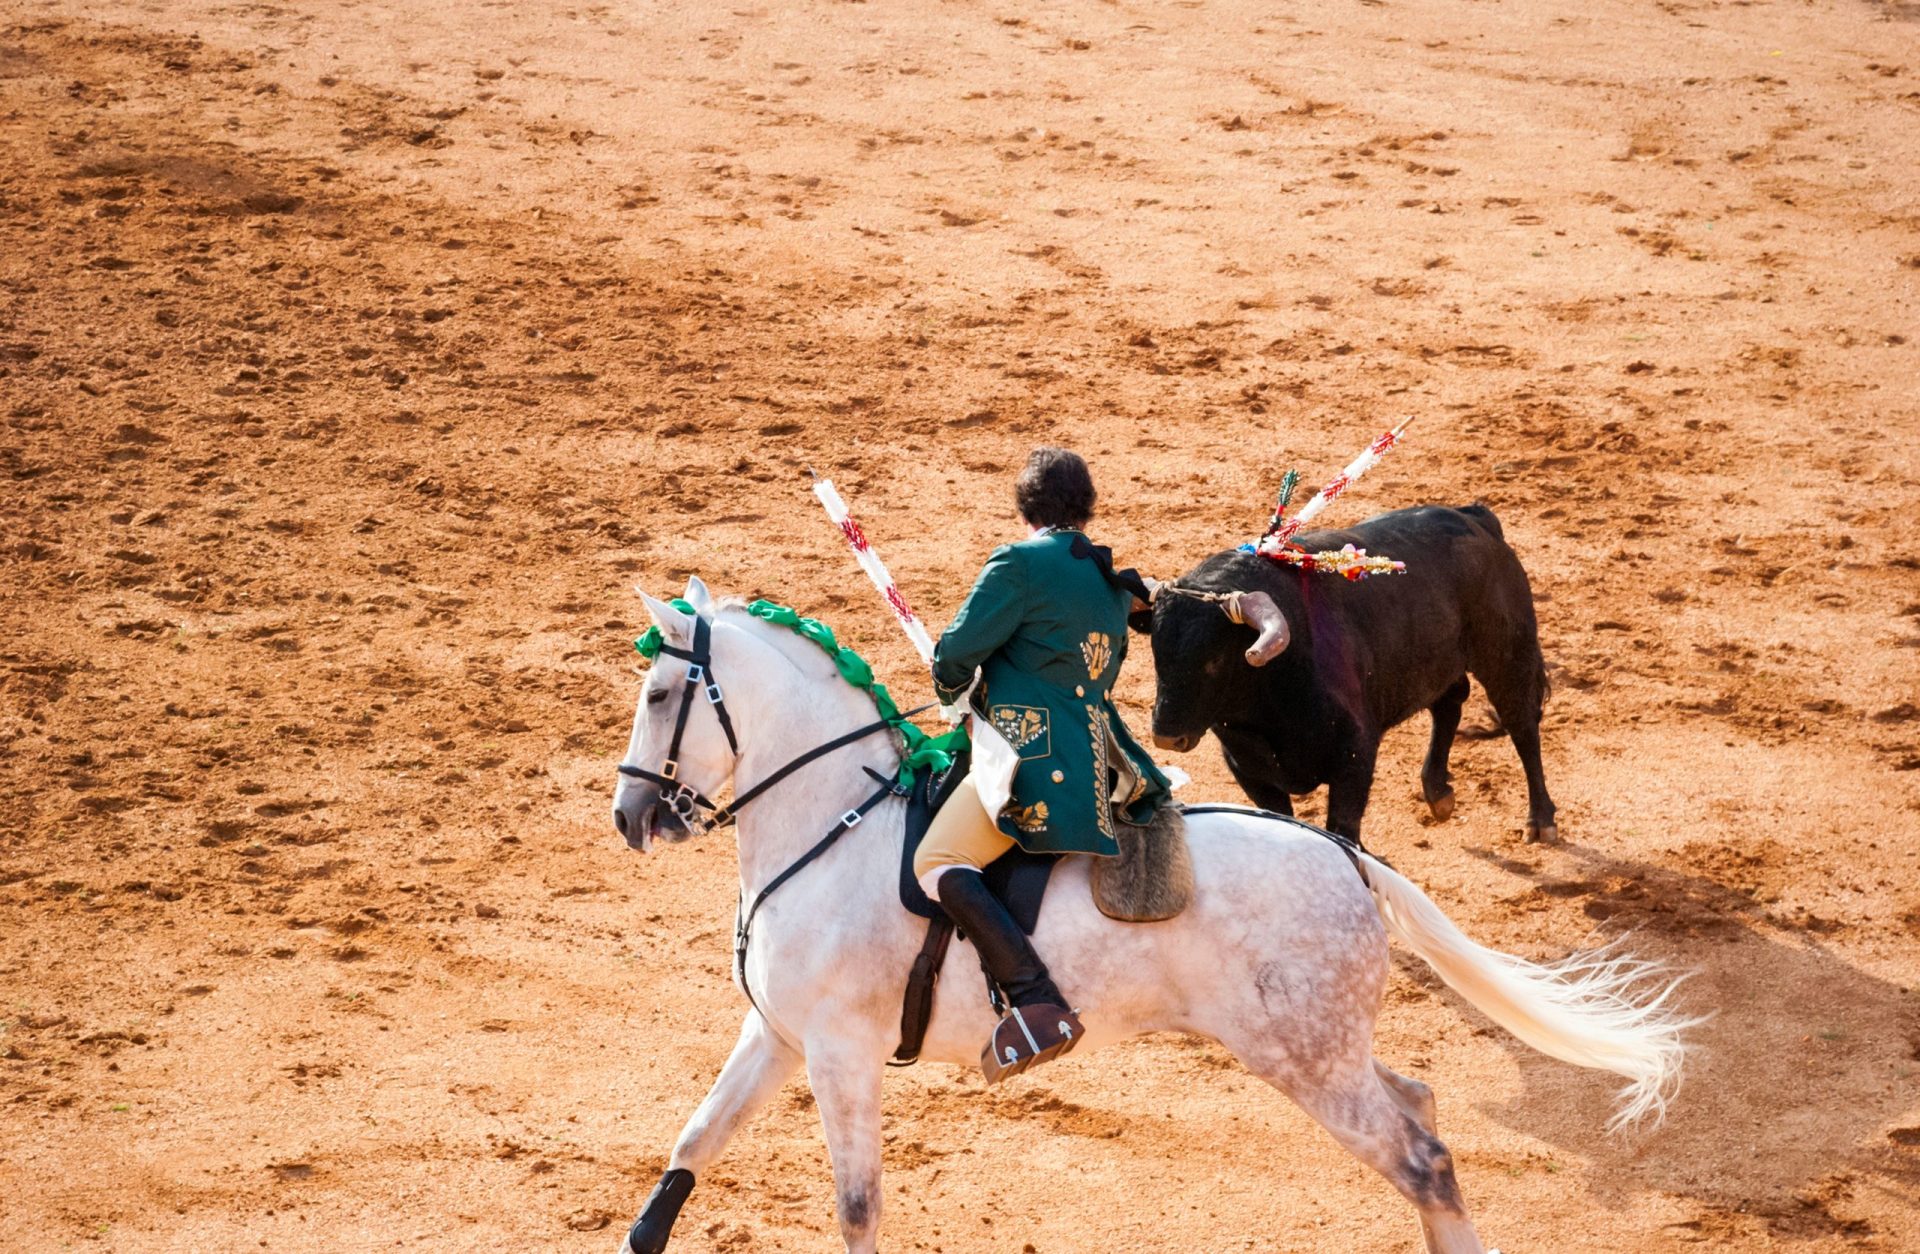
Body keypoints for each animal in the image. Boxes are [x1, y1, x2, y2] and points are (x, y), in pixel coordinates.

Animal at [606, 583, 1689, 1252]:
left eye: (660, 692)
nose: (629, 817)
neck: (831, 820)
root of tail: (1344, 856)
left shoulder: (838, 1052)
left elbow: (857, 1207)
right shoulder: (779, 1037)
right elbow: (692, 1146)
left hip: (1305, 1061)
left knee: (1420, 1158)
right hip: (1321, 1049)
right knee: (1420, 1105)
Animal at [1136, 506, 1559, 841]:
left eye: (1215, 659)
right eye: (1157, 652)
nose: (1166, 736)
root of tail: (1475, 518)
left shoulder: (1354, 756)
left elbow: (1342, 826)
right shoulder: (1250, 772)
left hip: (1508, 656)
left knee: (1521, 725)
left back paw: (1540, 820)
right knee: (1449, 703)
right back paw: (1437, 791)